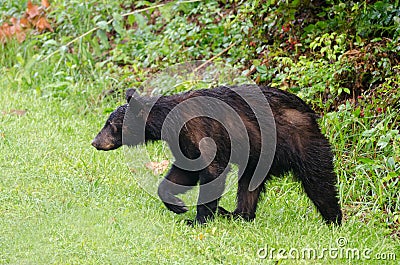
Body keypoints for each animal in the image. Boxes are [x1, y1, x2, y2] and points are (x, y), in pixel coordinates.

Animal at [92, 84, 342, 225]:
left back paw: (334, 219)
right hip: (259, 159)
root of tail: (312, 115)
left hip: (302, 142)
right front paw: (178, 204)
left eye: (110, 124)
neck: (170, 120)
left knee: (319, 182)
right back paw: (236, 214)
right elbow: (183, 172)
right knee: (249, 185)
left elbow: (212, 171)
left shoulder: (202, 131)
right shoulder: (185, 142)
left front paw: (198, 219)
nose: (95, 142)